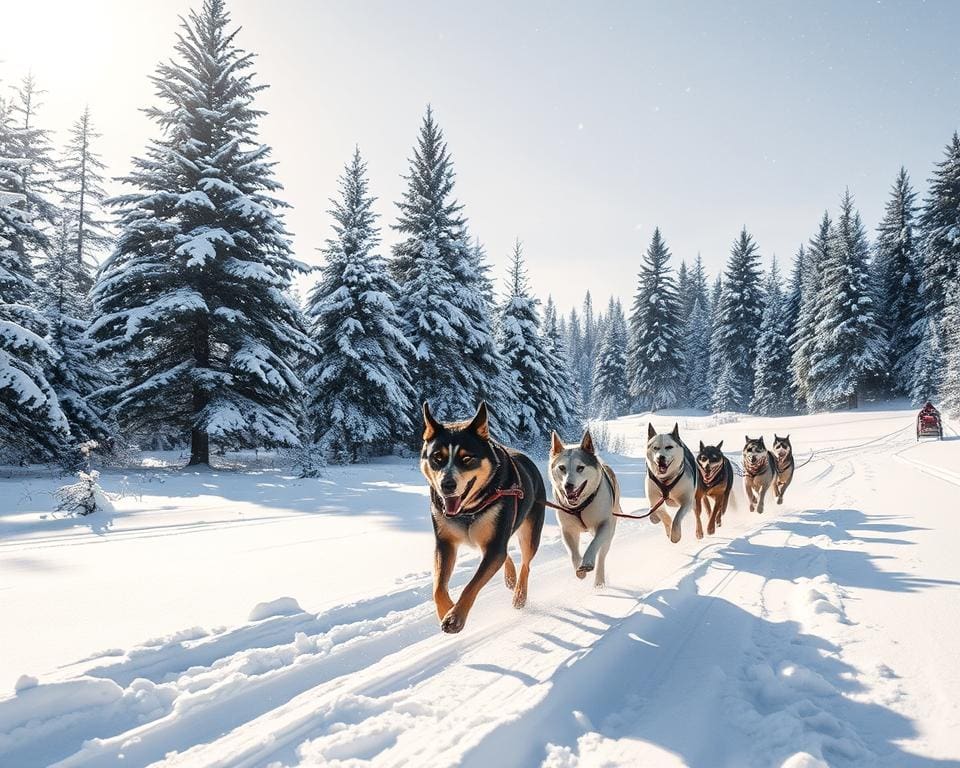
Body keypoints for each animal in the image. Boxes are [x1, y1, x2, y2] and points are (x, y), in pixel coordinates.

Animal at [422, 404, 548, 632]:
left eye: (467, 458)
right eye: (437, 457)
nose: (447, 485)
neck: (468, 511)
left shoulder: (495, 543)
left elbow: (472, 584)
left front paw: (456, 616)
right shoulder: (445, 542)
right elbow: (438, 587)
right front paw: (446, 610)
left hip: (530, 530)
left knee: (526, 562)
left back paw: (519, 594)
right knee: (505, 555)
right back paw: (510, 577)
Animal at [548, 428, 624, 584]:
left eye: (580, 468)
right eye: (562, 467)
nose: (568, 485)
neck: (580, 506)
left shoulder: (604, 524)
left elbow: (594, 544)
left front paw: (587, 561)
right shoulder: (567, 529)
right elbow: (573, 553)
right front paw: (579, 569)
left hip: (609, 531)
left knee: (602, 554)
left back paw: (599, 581)